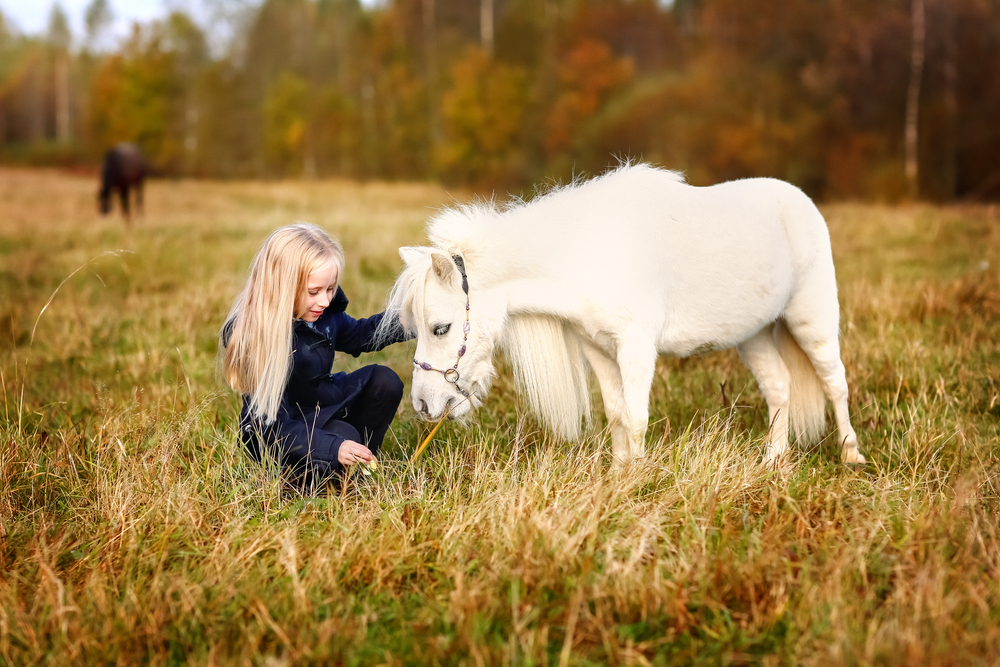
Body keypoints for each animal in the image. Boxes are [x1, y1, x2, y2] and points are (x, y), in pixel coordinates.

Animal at [378, 163, 864, 464]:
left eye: (441, 328)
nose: (422, 404)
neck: (591, 253)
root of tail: (798, 199)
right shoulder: (597, 348)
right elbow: (616, 415)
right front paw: (620, 475)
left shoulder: (636, 348)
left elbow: (635, 417)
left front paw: (640, 481)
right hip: (755, 334)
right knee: (780, 387)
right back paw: (774, 460)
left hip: (812, 320)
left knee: (835, 383)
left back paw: (850, 454)